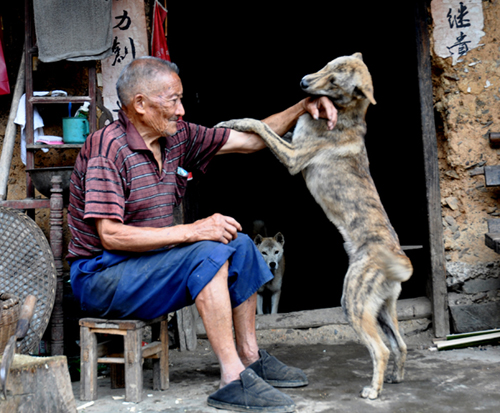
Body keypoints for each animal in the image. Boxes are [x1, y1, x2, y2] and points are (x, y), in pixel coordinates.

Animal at [217, 53, 412, 398]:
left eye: (335, 81)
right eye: (329, 64)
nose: (303, 82)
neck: (348, 113)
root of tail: (397, 256)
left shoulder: (294, 156)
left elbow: (259, 124)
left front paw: (232, 122)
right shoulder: (292, 138)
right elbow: (273, 126)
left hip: (354, 304)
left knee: (382, 349)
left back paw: (373, 391)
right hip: (383, 307)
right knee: (401, 345)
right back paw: (395, 379)